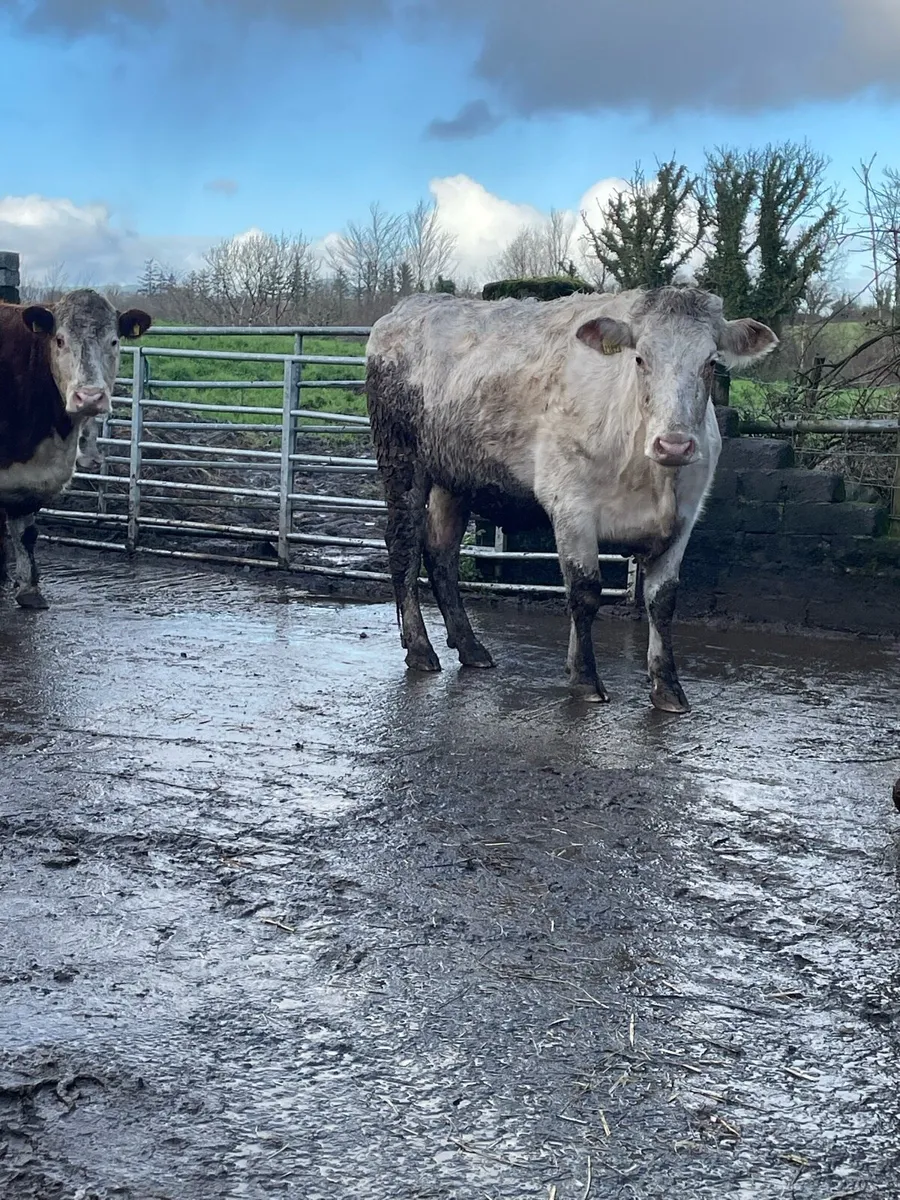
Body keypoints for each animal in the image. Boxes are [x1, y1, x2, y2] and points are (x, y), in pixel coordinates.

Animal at [0, 289, 151, 609]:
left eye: (114, 340)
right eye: (60, 340)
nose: (90, 396)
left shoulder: (26, 479)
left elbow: (26, 533)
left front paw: (30, 590)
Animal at [366, 286, 777, 712]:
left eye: (710, 363)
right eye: (640, 358)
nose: (674, 444)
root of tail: (411, 306)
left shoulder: (684, 519)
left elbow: (662, 601)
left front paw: (667, 687)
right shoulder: (571, 508)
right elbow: (585, 592)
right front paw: (585, 679)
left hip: (455, 478)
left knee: (441, 553)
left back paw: (471, 647)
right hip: (401, 459)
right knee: (404, 547)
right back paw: (420, 649)